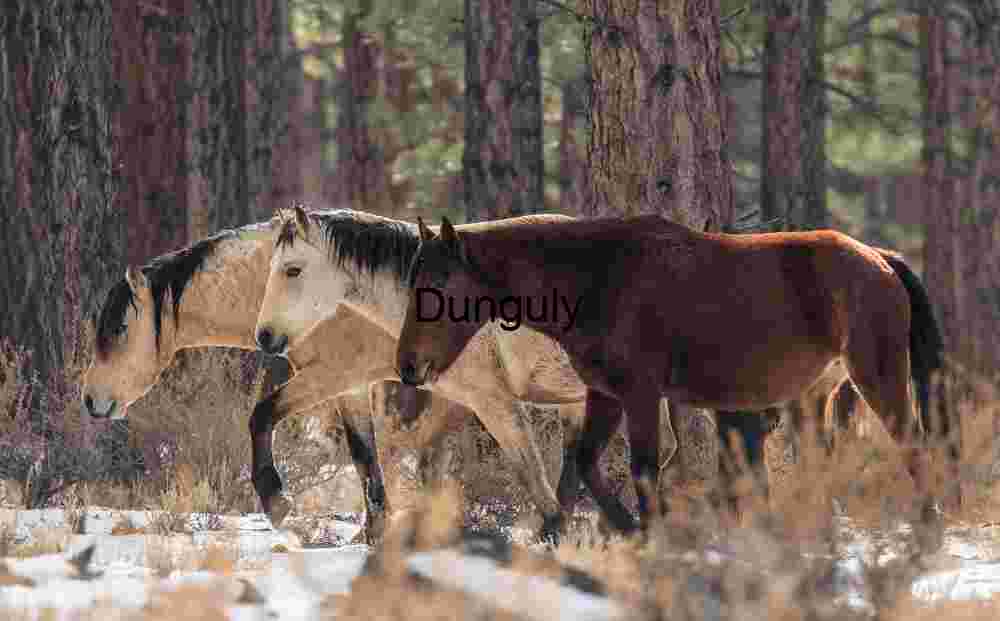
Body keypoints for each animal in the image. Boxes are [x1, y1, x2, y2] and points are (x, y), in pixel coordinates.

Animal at [395, 215, 947, 535]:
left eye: (438, 282)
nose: (407, 365)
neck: (602, 277)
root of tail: (880, 259)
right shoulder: (605, 396)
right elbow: (589, 463)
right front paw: (632, 528)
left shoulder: (641, 395)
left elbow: (643, 468)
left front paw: (649, 531)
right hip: (822, 394)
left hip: (878, 378)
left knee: (915, 448)